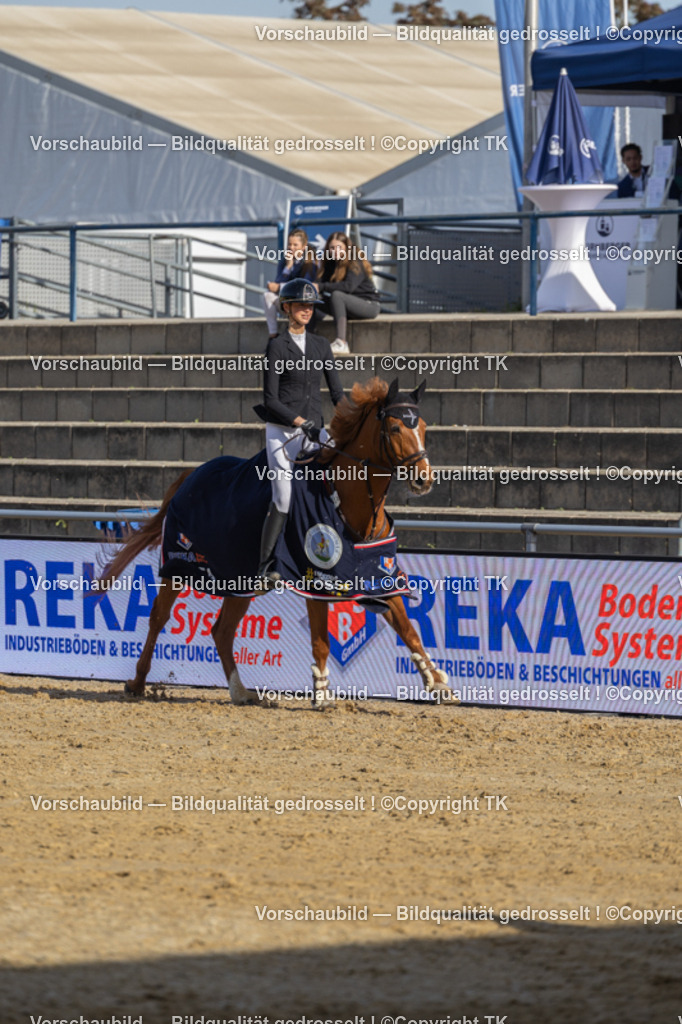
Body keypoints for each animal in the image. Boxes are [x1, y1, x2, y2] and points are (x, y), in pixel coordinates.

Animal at [100, 377, 453, 707]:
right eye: (394, 427)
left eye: (422, 427)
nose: (424, 479)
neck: (347, 498)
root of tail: (190, 475)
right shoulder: (316, 580)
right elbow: (321, 640)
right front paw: (321, 694)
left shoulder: (379, 576)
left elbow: (409, 631)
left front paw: (437, 683)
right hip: (177, 568)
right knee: (158, 618)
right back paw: (137, 684)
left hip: (240, 580)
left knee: (222, 631)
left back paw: (240, 692)